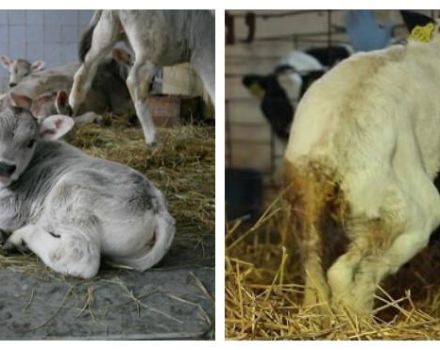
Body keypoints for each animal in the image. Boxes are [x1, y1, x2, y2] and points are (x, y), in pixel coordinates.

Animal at [69, 10, 217, 145]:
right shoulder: (203, 50)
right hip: (153, 45)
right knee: (136, 81)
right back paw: (153, 139)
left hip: (105, 34)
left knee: (84, 72)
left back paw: (70, 113)